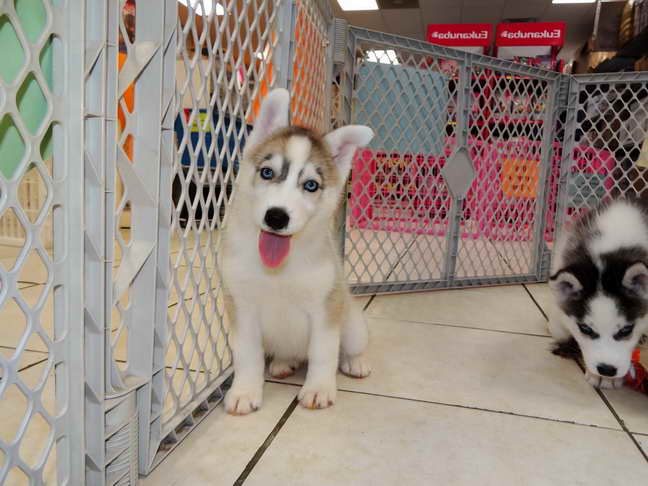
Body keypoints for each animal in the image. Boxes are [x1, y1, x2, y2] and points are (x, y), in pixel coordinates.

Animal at [220, 88, 374, 414]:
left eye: (311, 185)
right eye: (267, 172)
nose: (276, 217)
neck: (278, 271)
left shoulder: (324, 310)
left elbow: (323, 354)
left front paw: (318, 389)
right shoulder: (242, 307)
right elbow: (247, 357)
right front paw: (244, 391)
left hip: (351, 323)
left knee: (350, 346)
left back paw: (355, 362)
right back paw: (283, 363)